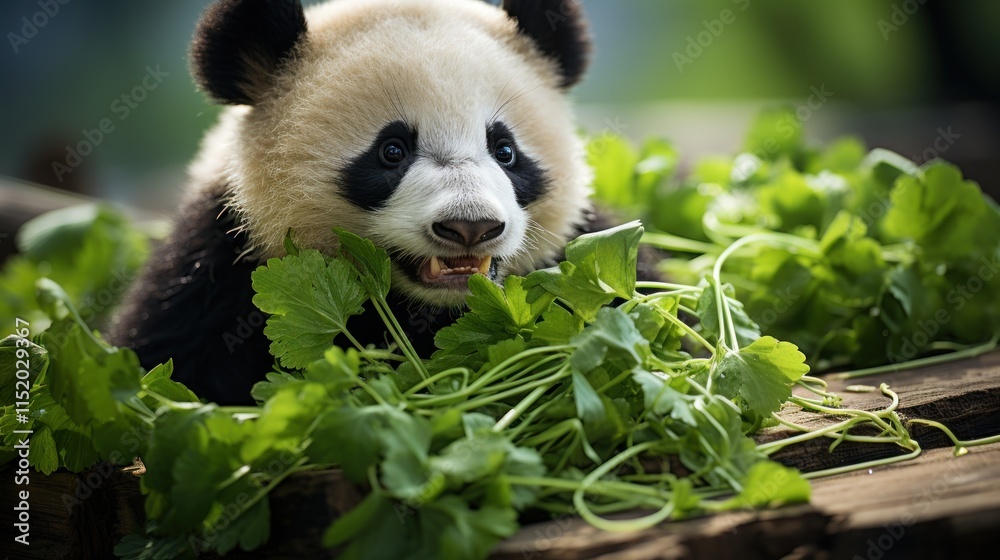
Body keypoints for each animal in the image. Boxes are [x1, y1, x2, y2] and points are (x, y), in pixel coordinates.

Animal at [111, 0, 627, 405]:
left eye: (505, 151)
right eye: (392, 151)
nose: (470, 226)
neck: (434, 309)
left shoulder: (577, 245)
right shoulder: (216, 269)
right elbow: (170, 362)